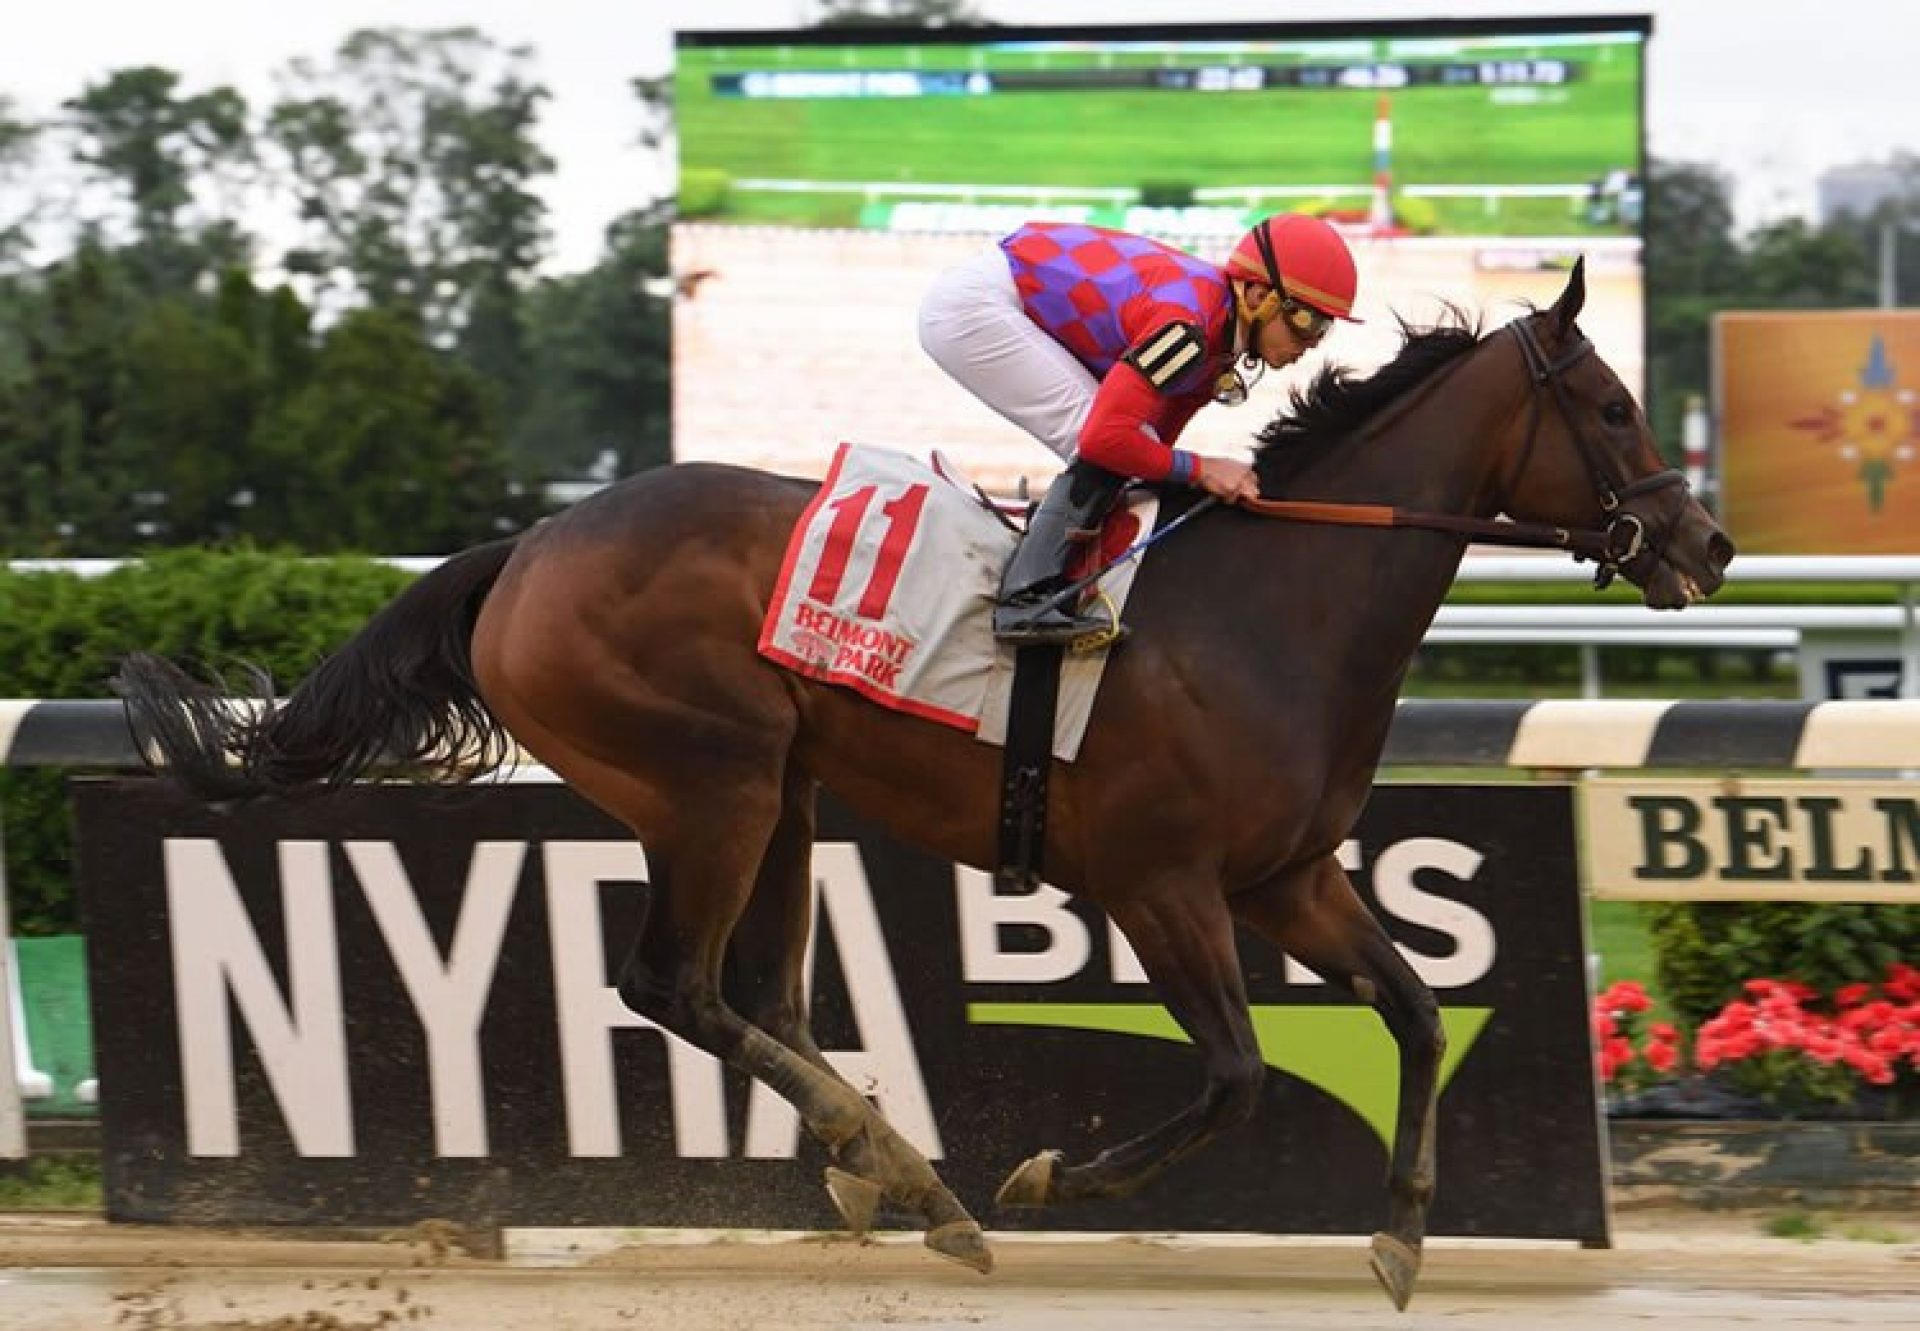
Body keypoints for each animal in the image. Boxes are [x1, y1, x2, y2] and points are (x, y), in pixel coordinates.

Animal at [120, 263, 1743, 1306]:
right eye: (1611, 404)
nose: (1708, 544)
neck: (1271, 613)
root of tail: (525, 548)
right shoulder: (1162, 884)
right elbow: (1230, 1075)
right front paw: (1048, 1178)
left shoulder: (1289, 875)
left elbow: (1414, 1013)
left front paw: (1403, 1233)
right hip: (710, 779)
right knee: (672, 983)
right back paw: (915, 1175)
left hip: (783, 791)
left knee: (759, 996)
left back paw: (886, 1172)